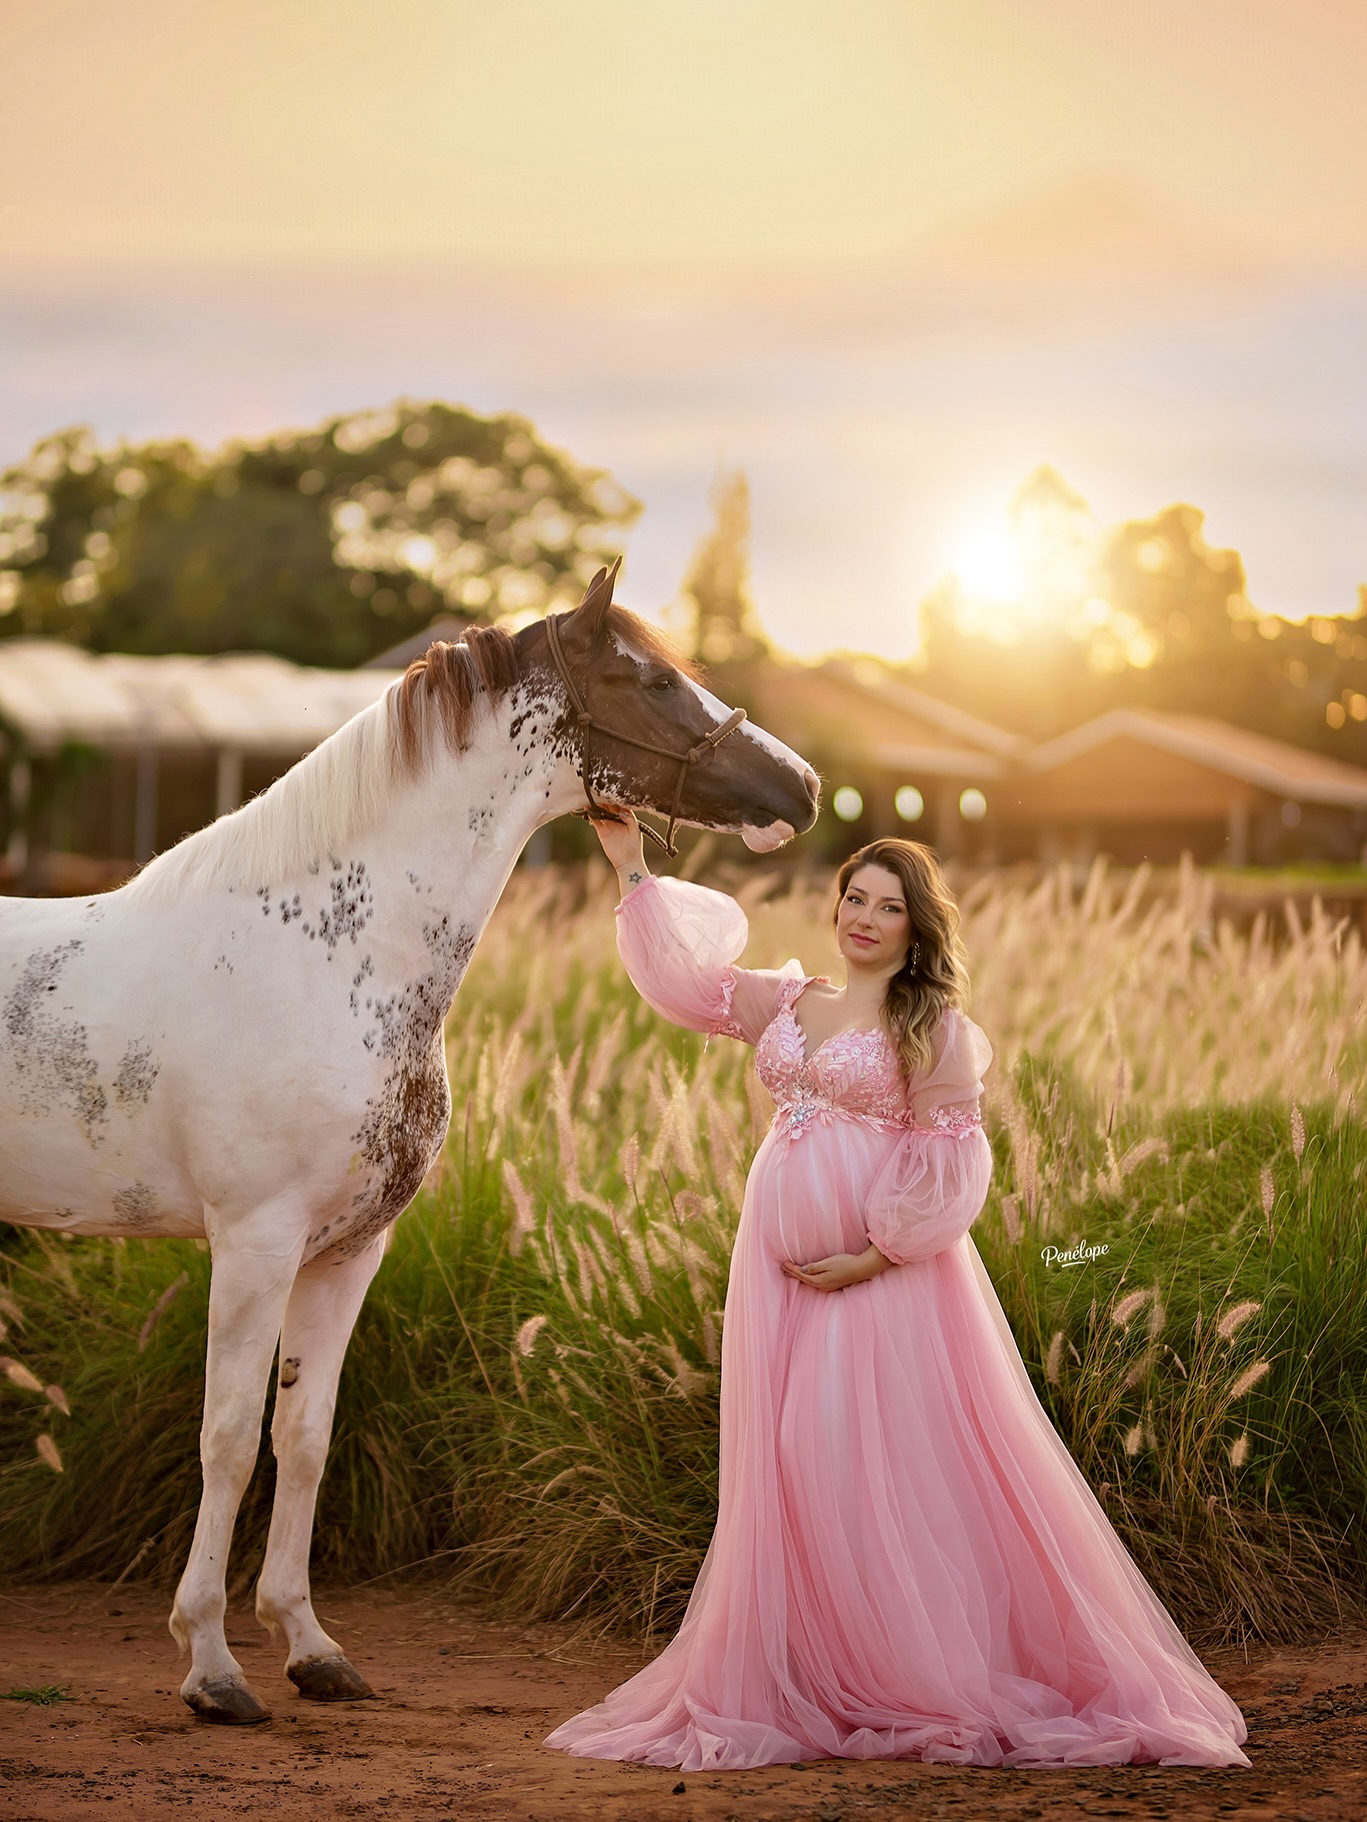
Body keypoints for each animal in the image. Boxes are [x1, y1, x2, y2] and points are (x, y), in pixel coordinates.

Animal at [0, 561, 819, 1724]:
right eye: (652, 678)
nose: (801, 788)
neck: (323, 957)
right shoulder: (252, 1246)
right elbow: (224, 1442)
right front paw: (211, 1667)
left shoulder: (349, 1250)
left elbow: (300, 1438)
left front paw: (309, 1647)